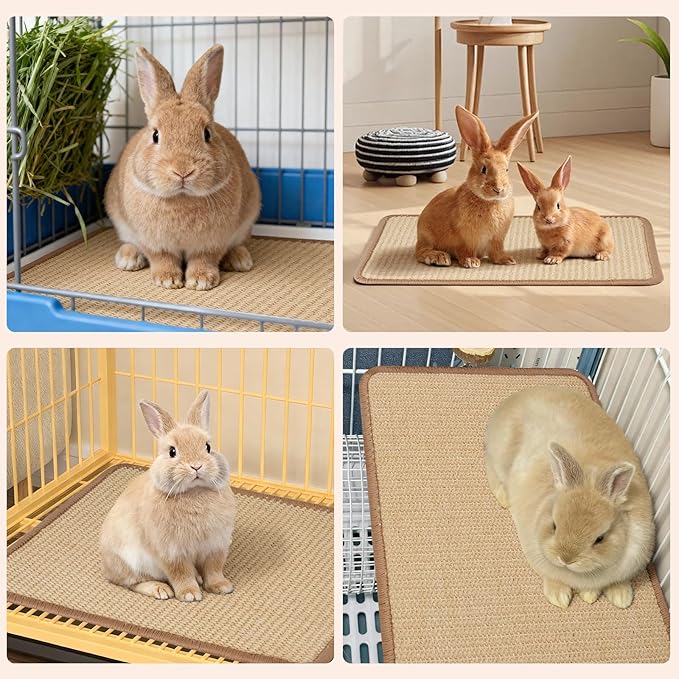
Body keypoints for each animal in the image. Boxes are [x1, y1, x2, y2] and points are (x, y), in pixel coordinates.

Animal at [100, 390, 236, 602]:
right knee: (133, 583)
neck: (194, 492)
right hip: (130, 562)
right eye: (172, 451)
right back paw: (161, 590)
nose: (196, 466)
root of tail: (106, 568)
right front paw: (189, 595)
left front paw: (222, 586)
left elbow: (214, 569)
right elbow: (180, 574)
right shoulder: (172, 552)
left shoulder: (215, 545)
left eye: (207, 447)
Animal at [104, 44, 261, 291]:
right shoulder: (155, 243)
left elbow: (204, 259)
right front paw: (167, 280)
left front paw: (200, 281)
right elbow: (162, 258)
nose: (183, 171)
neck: (182, 198)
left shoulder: (211, 243)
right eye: (155, 135)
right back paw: (128, 259)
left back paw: (240, 260)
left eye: (207, 133)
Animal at [416, 105, 538, 268]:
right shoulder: (466, 239)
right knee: (421, 252)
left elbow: (497, 252)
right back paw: (439, 258)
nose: (498, 189)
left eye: (506, 169)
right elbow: (465, 250)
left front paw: (507, 260)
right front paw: (471, 261)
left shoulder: (497, 239)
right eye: (483, 169)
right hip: (427, 235)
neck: (489, 202)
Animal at [485, 386, 655, 610]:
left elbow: (617, 582)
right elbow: (553, 578)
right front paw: (560, 598)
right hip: (500, 456)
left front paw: (620, 597)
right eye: (554, 525)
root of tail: (513, 399)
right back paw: (505, 499)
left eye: (600, 538)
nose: (566, 559)